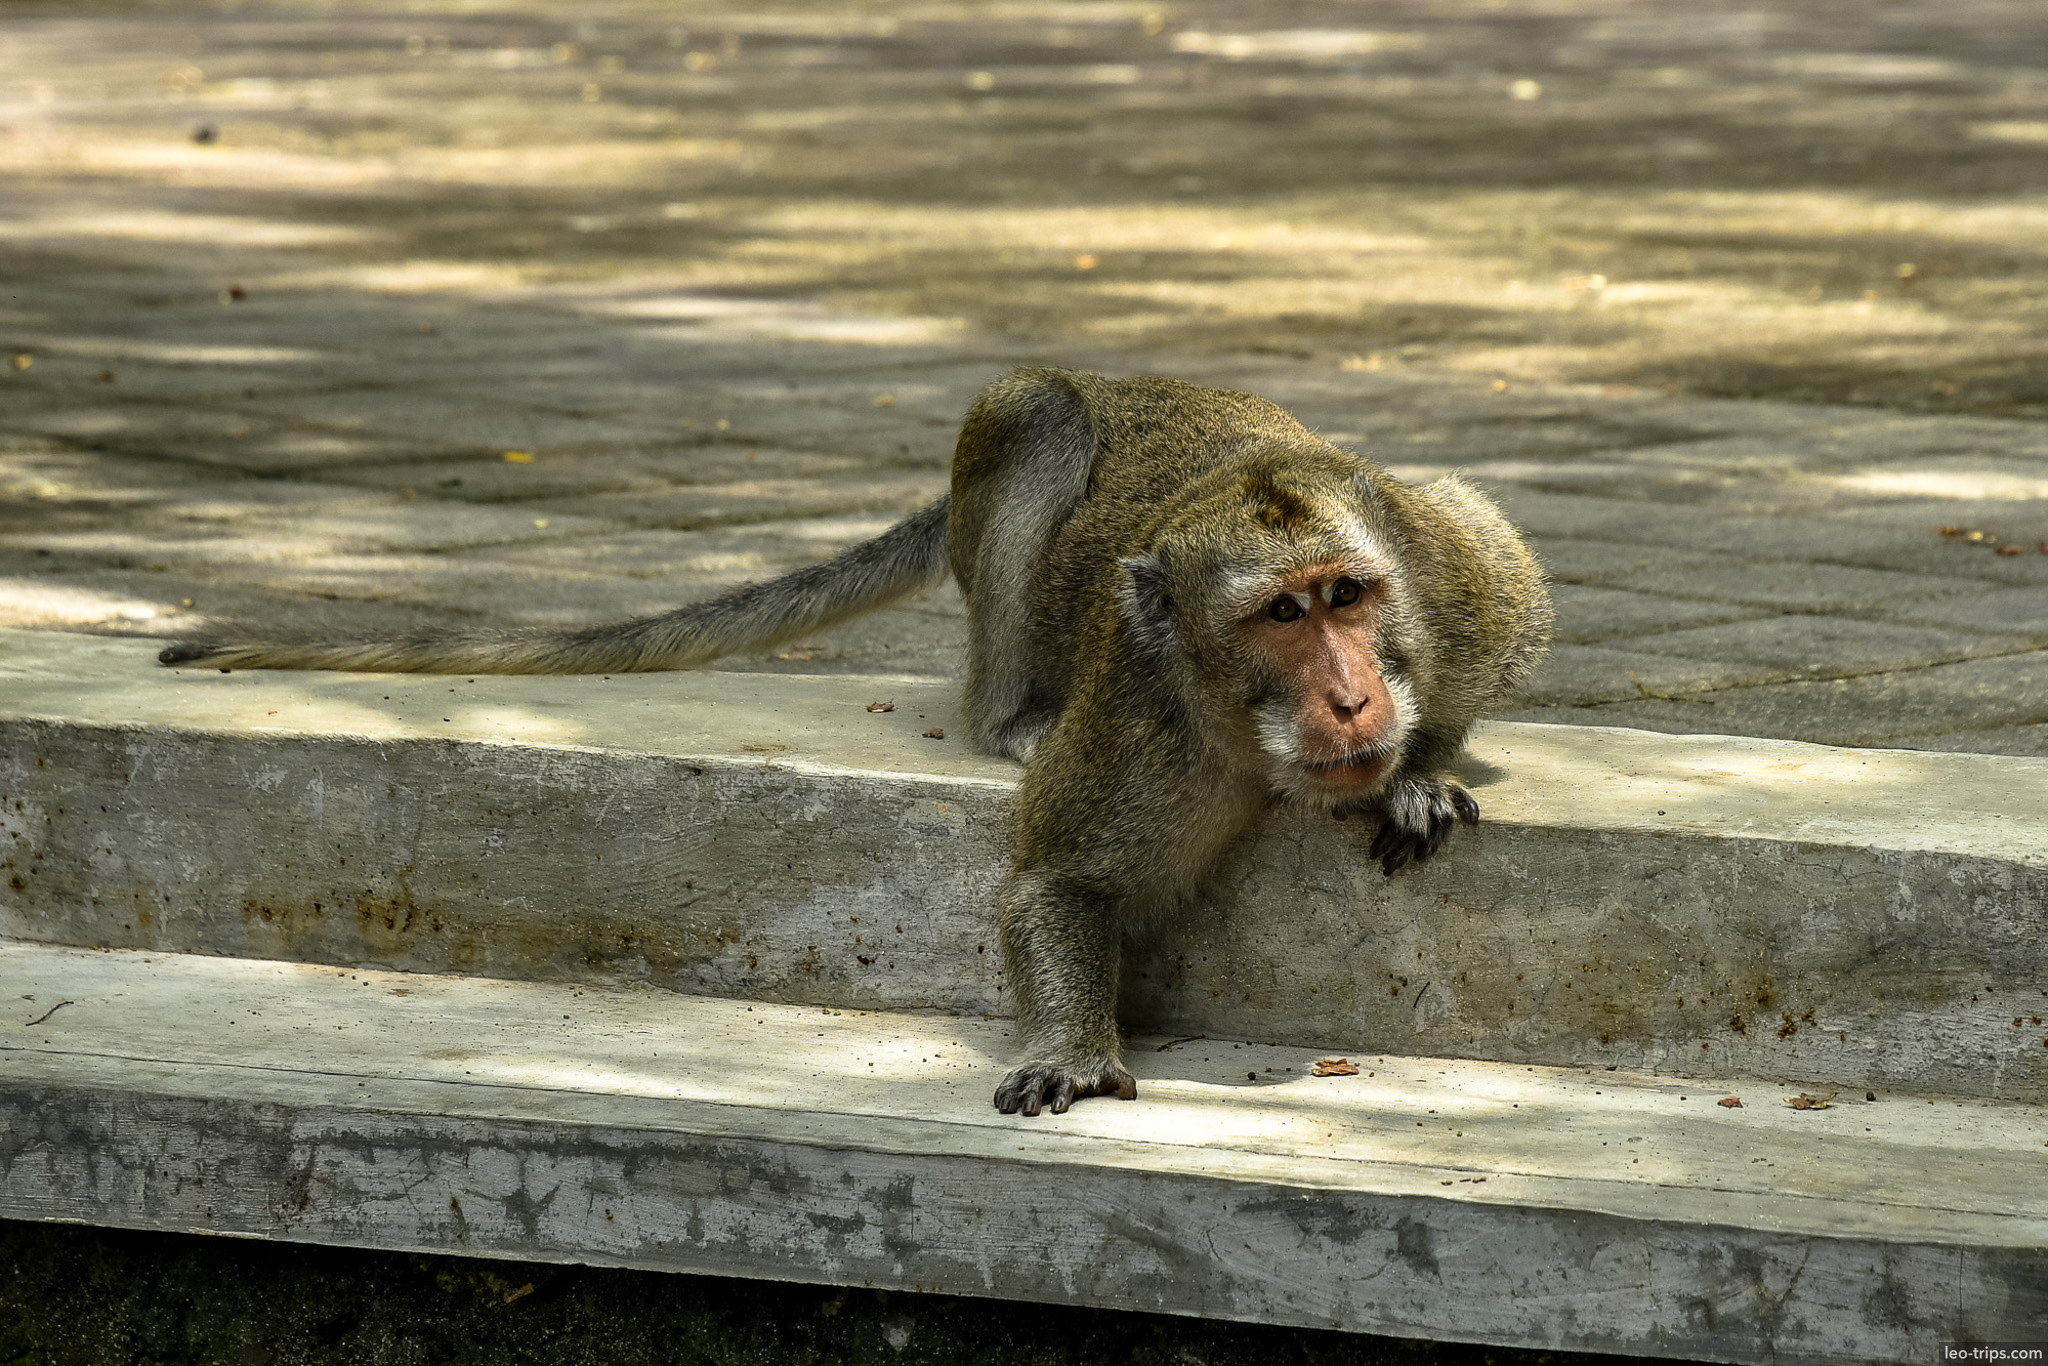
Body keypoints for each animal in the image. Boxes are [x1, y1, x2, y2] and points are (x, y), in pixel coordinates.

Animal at [160, 368, 1552, 1118]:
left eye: (1346, 598)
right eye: (1278, 617)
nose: (1353, 702)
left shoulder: (1447, 581)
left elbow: (1503, 590)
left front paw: (1420, 770)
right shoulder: (1140, 729)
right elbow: (1059, 882)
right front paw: (1073, 1044)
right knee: (1039, 416)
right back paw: (1008, 714)